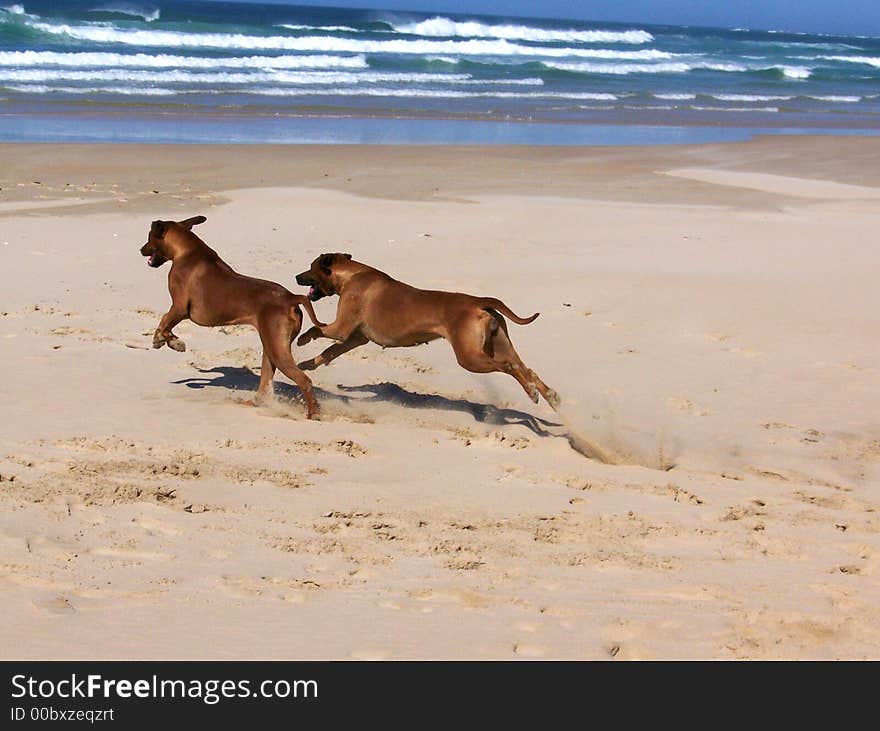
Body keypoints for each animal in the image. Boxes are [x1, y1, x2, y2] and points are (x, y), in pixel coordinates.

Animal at [140, 214, 324, 418]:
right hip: (271, 347)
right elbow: (166, 324)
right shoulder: (180, 310)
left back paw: (313, 414)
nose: (141, 250)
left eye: (149, 237)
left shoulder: (179, 307)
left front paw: (167, 341)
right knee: (265, 385)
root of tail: (291, 297)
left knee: (304, 381)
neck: (186, 251)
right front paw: (169, 340)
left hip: (276, 349)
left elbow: (164, 321)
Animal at [294, 254, 556, 408]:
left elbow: (317, 329)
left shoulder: (341, 329)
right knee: (526, 368)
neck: (351, 275)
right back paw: (551, 396)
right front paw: (307, 364)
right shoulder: (356, 339)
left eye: (310, 268)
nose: (296, 276)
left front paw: (303, 339)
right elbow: (328, 353)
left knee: (510, 368)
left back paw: (532, 392)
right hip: (500, 345)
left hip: (470, 358)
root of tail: (478, 302)